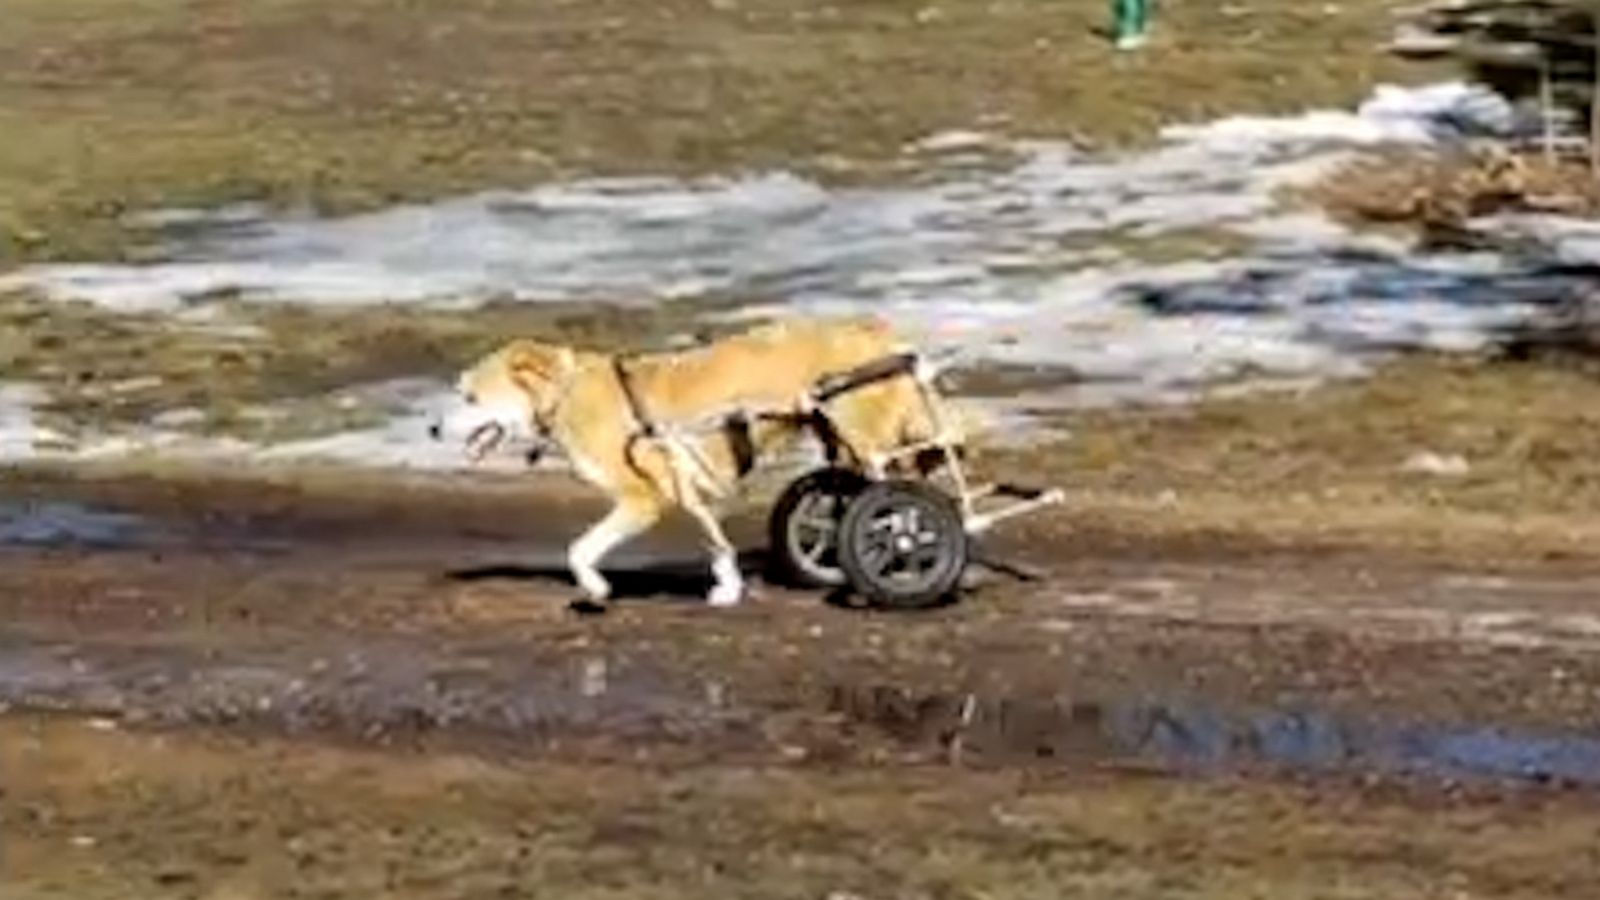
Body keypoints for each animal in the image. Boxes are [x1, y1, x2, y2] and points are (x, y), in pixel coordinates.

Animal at [432, 318, 953, 605]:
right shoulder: (684, 485)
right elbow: (713, 539)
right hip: (846, 445)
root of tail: (875, 335)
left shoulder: (641, 498)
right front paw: (729, 587)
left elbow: (580, 549)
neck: (564, 394)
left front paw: (595, 589)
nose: (432, 430)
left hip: (868, 442)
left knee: (901, 509)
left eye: (471, 398)